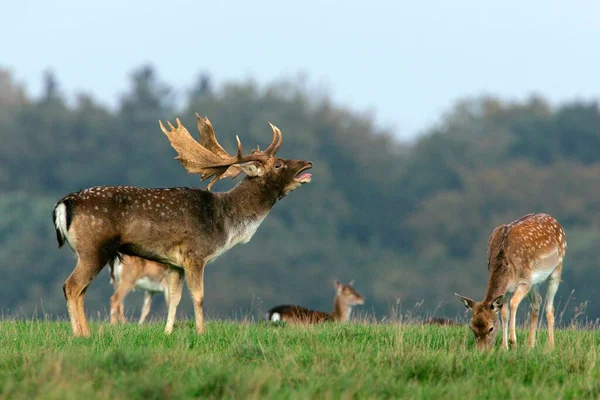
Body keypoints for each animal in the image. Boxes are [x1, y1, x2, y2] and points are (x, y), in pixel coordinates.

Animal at [53, 114, 312, 336]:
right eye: (278, 165)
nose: (308, 163)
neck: (225, 221)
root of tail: (63, 204)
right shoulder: (194, 254)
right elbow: (198, 296)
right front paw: (201, 332)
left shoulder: (173, 263)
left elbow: (174, 298)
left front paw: (167, 332)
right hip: (94, 248)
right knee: (71, 286)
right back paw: (80, 335)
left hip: (88, 252)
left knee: (81, 290)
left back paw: (85, 333)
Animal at [454, 214, 568, 348]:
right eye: (471, 327)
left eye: (491, 328)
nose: (481, 350)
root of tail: (554, 220)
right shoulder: (507, 290)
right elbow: (504, 313)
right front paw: (504, 347)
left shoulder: (525, 281)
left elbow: (513, 304)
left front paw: (513, 341)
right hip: (534, 282)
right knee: (537, 301)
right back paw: (530, 345)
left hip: (556, 268)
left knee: (549, 307)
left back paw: (551, 346)